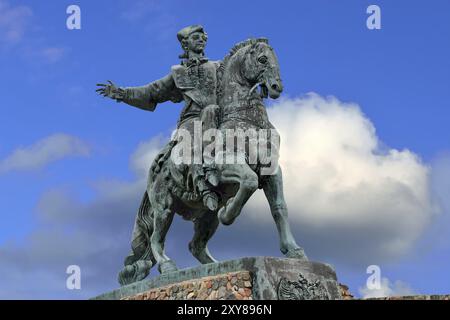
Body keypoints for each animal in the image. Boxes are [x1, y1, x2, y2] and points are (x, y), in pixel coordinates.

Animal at [116, 38, 308, 286]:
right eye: (263, 59)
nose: (277, 87)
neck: (248, 122)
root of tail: (153, 171)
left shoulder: (272, 170)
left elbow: (279, 208)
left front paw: (293, 250)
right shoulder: (225, 167)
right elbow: (248, 181)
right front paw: (227, 213)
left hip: (205, 217)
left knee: (195, 245)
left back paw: (215, 266)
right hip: (164, 207)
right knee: (156, 239)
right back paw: (168, 267)